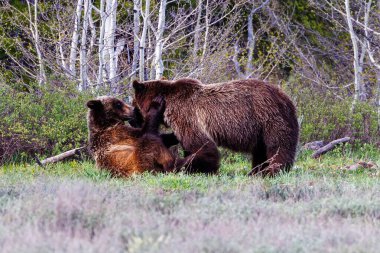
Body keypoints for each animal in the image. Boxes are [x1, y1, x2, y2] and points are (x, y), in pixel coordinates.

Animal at [134, 78, 300, 176]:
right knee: (261, 151)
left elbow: (204, 148)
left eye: (134, 104)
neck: (168, 103)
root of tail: (285, 97)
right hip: (260, 129)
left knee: (278, 147)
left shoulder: (187, 116)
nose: (134, 118)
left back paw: (271, 171)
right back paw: (255, 171)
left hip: (269, 118)